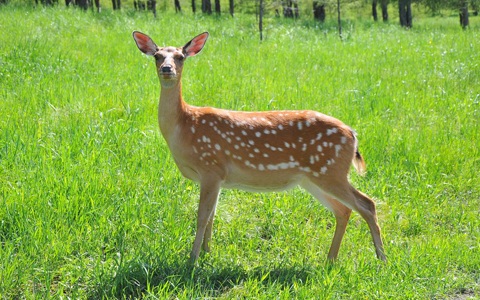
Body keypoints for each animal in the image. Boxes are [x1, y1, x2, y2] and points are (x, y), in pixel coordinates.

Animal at [133, 31, 388, 262]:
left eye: (180, 57)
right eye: (157, 56)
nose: (167, 69)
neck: (184, 126)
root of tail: (352, 134)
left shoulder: (211, 167)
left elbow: (202, 217)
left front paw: (192, 259)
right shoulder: (218, 177)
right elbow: (212, 216)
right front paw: (207, 252)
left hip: (330, 171)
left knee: (367, 204)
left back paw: (382, 259)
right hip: (312, 177)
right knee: (343, 210)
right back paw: (331, 259)